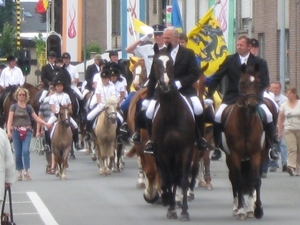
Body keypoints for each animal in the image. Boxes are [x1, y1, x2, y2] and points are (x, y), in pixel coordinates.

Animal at [151, 44, 196, 221]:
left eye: (170, 62)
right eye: (155, 63)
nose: (165, 84)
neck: (172, 114)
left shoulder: (186, 150)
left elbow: (182, 180)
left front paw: (184, 211)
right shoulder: (163, 152)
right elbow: (169, 179)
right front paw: (171, 209)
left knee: (178, 178)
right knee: (168, 177)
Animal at [220, 63, 264, 220]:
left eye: (258, 83)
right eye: (241, 83)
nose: (252, 106)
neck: (245, 125)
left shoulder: (256, 154)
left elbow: (255, 179)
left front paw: (257, 210)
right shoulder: (235, 155)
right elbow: (238, 181)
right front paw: (240, 210)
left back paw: (250, 208)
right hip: (229, 158)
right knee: (234, 179)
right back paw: (236, 208)